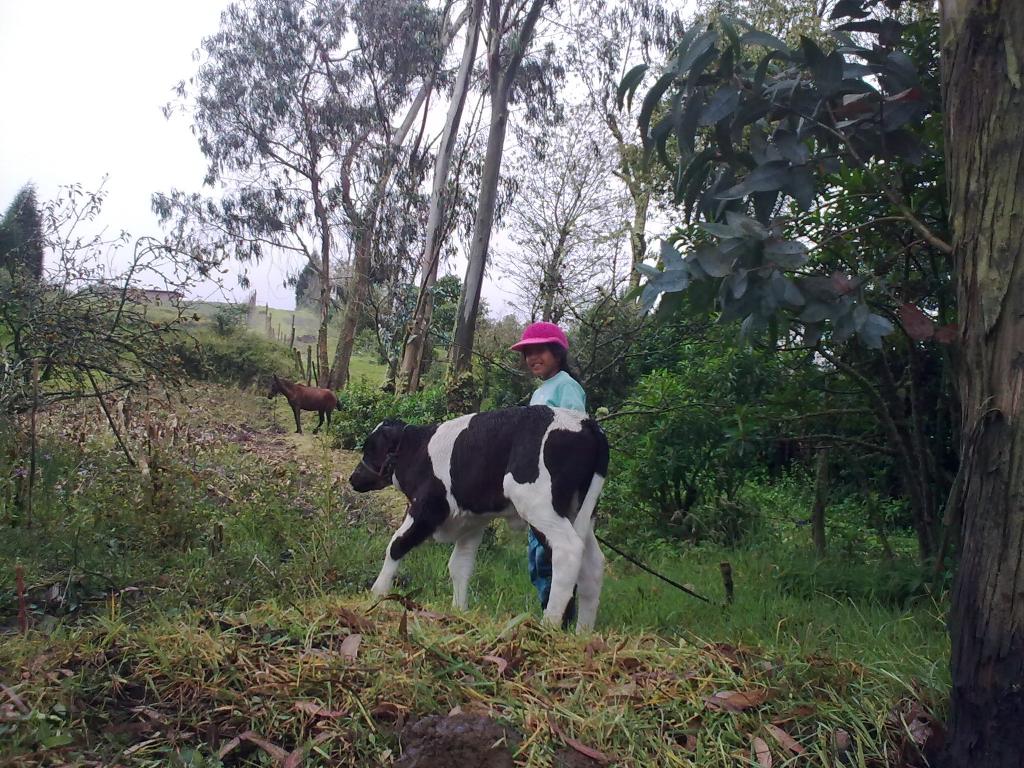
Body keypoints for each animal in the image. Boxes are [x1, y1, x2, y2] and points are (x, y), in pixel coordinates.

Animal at [352, 409, 606, 630]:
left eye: (370, 449)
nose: (352, 478)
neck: (417, 450)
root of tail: (583, 421)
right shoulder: (472, 522)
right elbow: (459, 565)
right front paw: (459, 611)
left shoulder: (427, 508)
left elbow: (397, 545)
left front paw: (377, 593)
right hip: (579, 511)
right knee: (592, 563)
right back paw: (582, 632)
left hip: (539, 506)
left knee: (568, 550)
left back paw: (549, 625)